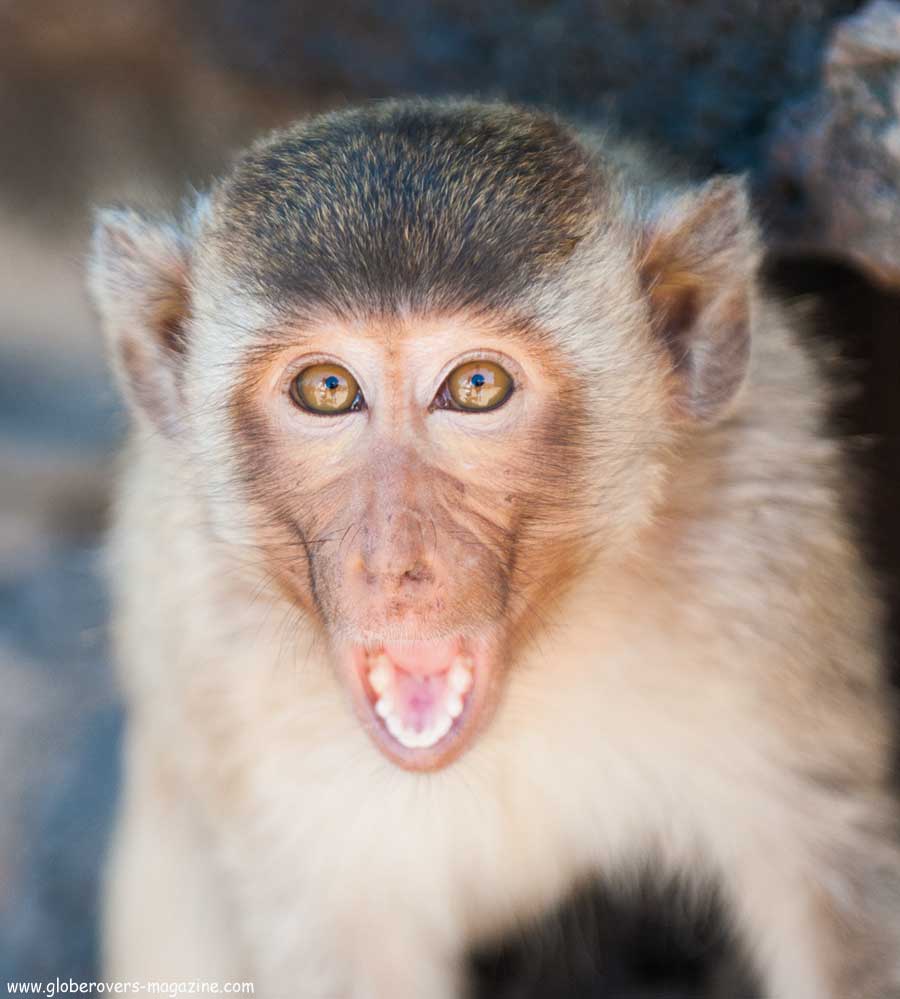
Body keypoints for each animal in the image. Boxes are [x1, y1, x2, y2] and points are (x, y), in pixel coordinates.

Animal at [88, 95, 900, 999]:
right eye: (327, 389)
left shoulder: (763, 526)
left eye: (477, 387)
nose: (394, 564)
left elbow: (830, 873)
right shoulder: (213, 643)